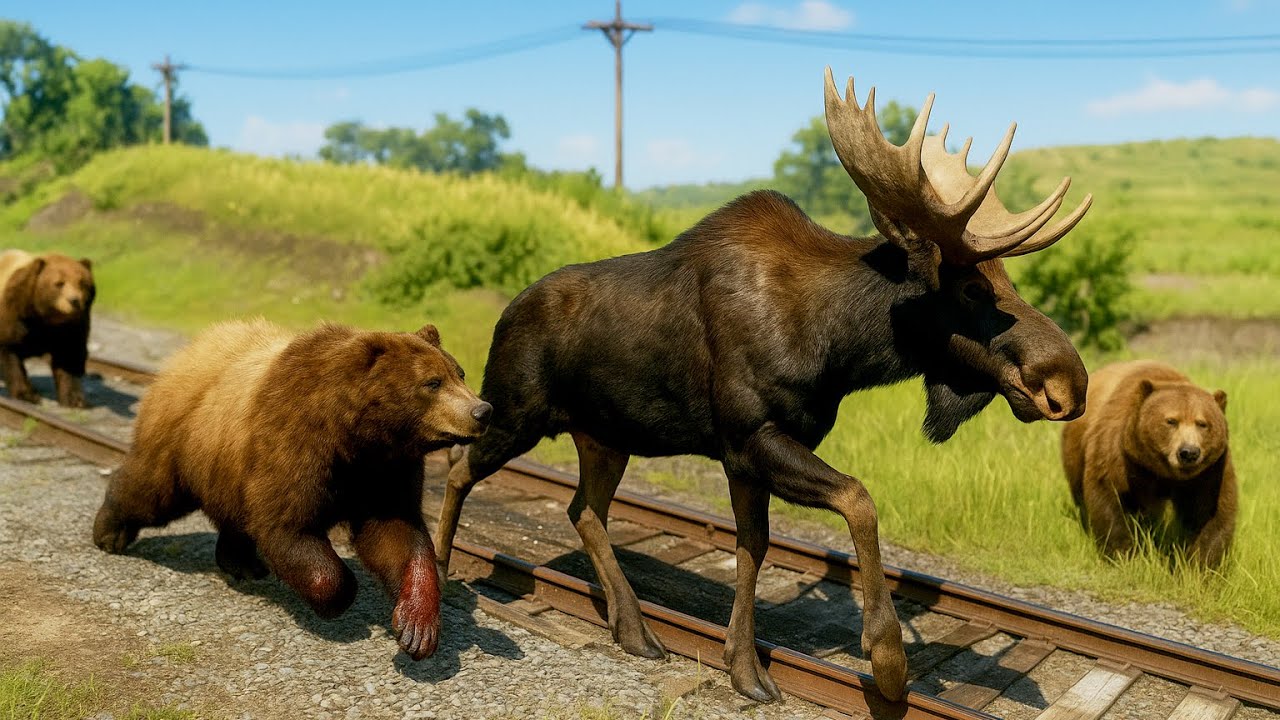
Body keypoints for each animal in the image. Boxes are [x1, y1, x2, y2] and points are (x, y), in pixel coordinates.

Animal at [0, 249, 95, 407]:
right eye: (59, 283)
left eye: (82, 283)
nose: (74, 301)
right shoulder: (15, 315)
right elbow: (9, 350)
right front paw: (27, 395)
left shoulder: (72, 327)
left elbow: (69, 356)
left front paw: (75, 399)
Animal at [92, 318, 492, 660]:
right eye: (432, 382)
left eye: (459, 372)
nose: (482, 410)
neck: (358, 436)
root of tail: (186, 354)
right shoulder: (295, 442)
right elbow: (287, 526)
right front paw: (340, 596)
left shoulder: (384, 471)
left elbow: (397, 533)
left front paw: (416, 626)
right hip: (185, 439)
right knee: (151, 490)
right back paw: (109, 531)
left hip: (228, 468)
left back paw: (241, 563)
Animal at [433, 68, 1093, 703]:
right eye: (974, 290)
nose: (1069, 382)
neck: (840, 349)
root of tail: (505, 313)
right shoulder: (750, 435)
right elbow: (858, 499)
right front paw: (887, 662)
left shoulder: (749, 455)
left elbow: (755, 546)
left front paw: (745, 669)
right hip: (513, 408)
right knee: (461, 467)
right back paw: (440, 575)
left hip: (604, 436)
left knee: (583, 509)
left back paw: (635, 629)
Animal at [1061, 360, 1235, 569]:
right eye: (1171, 421)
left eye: (1202, 423)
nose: (1189, 453)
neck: (1164, 472)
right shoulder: (1120, 457)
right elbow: (1110, 499)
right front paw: (1124, 556)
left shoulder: (1209, 472)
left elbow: (1210, 513)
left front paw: (1200, 566)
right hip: (1075, 450)